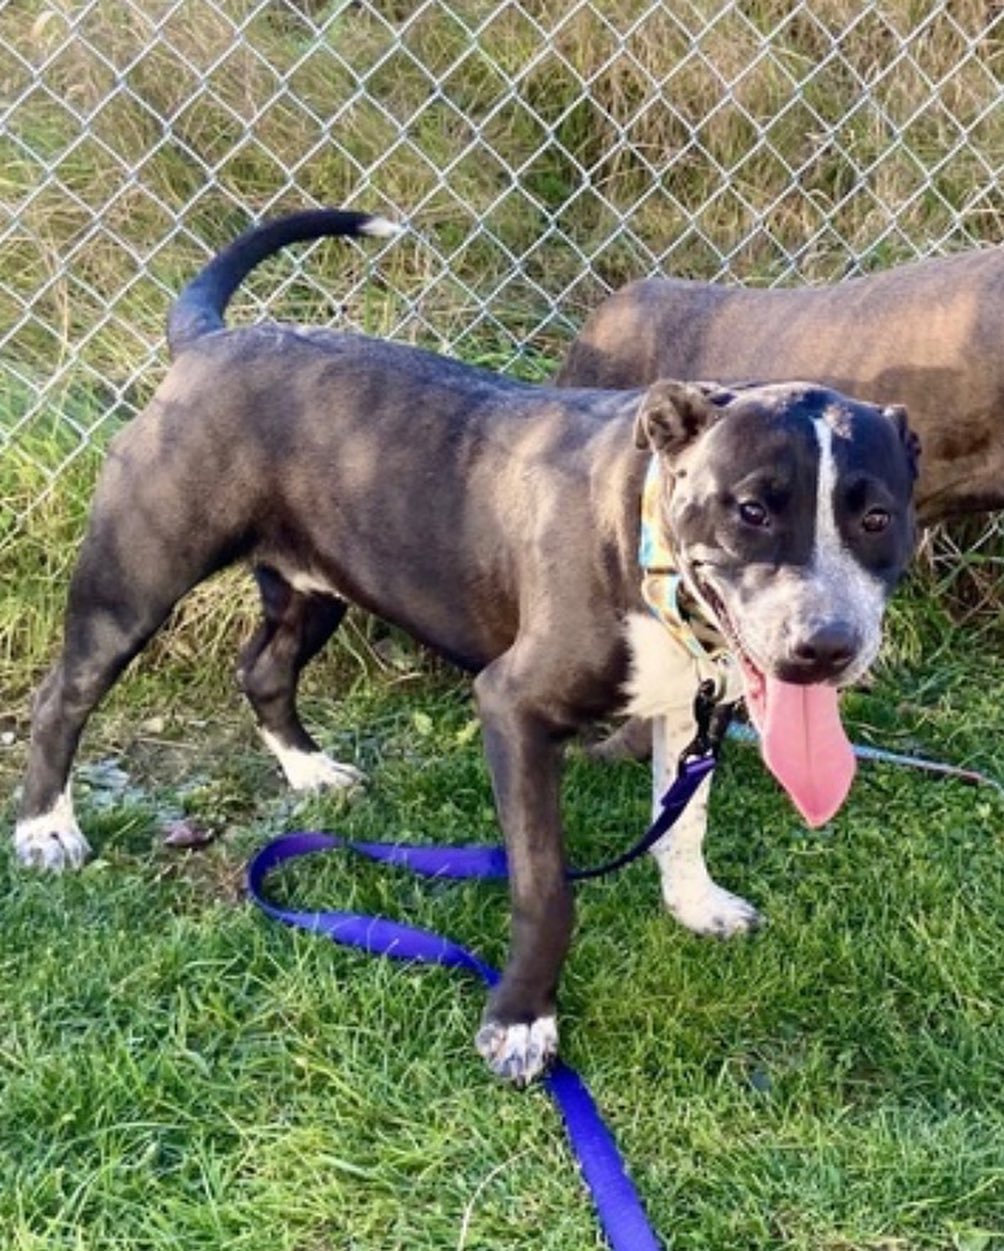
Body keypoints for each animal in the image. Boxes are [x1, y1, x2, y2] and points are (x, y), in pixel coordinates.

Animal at [11, 212, 920, 1085]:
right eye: (752, 510)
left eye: (876, 517)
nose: (824, 647)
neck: (647, 546)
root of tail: (207, 342)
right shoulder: (514, 708)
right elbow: (546, 886)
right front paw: (521, 1020)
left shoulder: (692, 709)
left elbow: (682, 823)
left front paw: (695, 906)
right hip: (135, 578)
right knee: (65, 695)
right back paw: (46, 828)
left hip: (316, 583)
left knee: (261, 668)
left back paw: (308, 769)